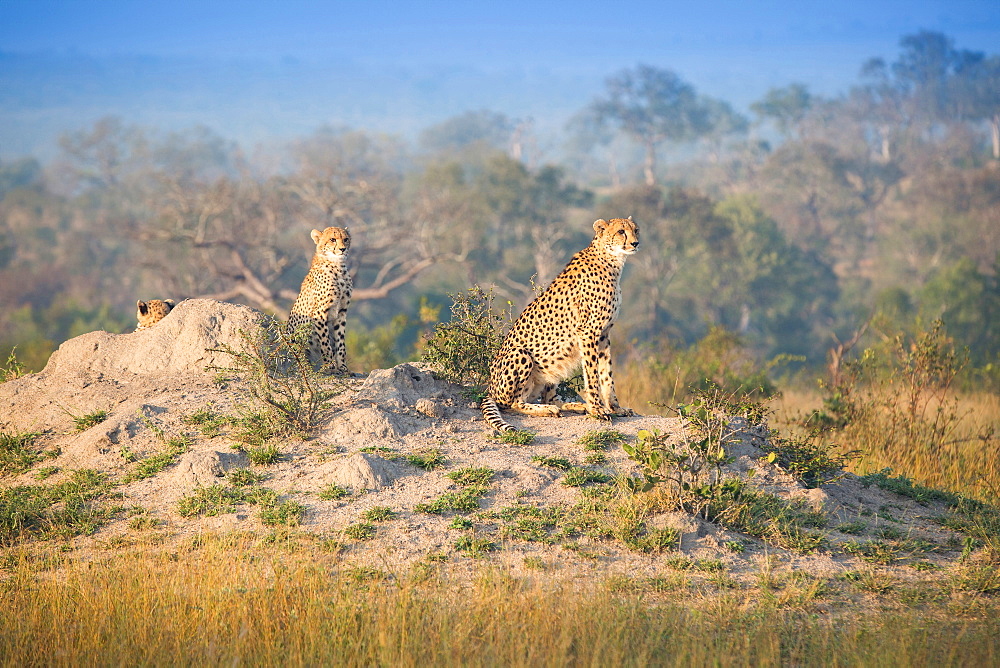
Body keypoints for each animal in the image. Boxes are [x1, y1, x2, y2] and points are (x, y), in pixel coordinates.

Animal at [288, 227, 354, 374]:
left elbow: (340, 343)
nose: (342, 249)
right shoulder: (320, 313)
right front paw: (330, 367)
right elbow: (325, 343)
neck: (338, 267)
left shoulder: (342, 312)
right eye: (333, 239)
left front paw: (343, 367)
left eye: (346, 239)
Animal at [482, 217, 640, 430]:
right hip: (521, 354)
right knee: (513, 403)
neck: (611, 260)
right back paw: (546, 410)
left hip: (554, 363)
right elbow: (592, 374)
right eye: (621, 231)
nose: (635, 243)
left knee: (547, 397)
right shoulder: (588, 332)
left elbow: (607, 374)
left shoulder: (604, 333)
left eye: (636, 230)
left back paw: (574, 406)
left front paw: (615, 408)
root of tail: (490, 387)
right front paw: (597, 409)